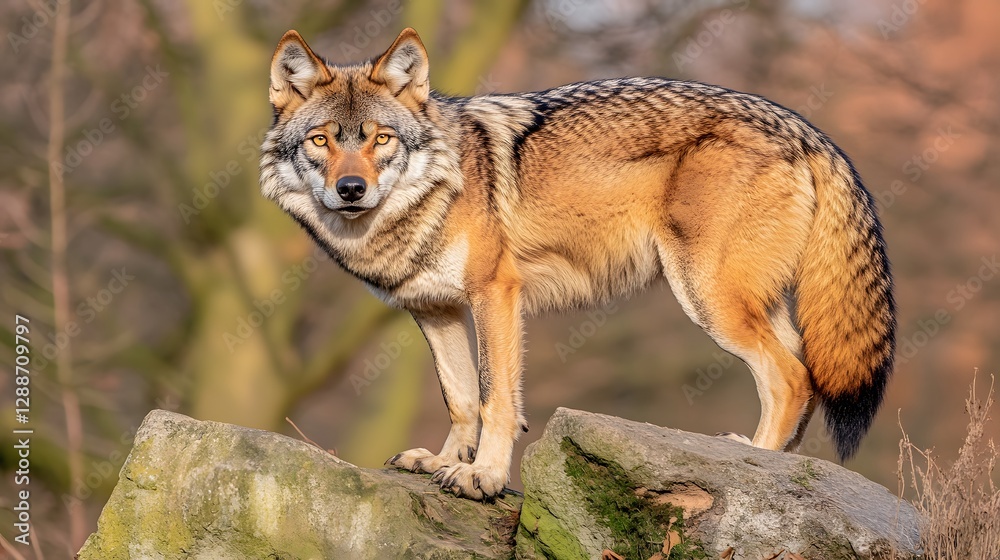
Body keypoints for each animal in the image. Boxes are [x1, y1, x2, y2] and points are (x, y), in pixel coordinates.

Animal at [260, 28, 895, 500]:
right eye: (321, 141)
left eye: (381, 139)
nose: (351, 189)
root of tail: (803, 126)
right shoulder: (435, 309)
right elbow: (460, 397)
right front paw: (442, 462)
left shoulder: (496, 293)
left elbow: (494, 399)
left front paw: (482, 476)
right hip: (748, 302)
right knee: (803, 371)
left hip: (707, 298)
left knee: (791, 377)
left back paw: (755, 465)